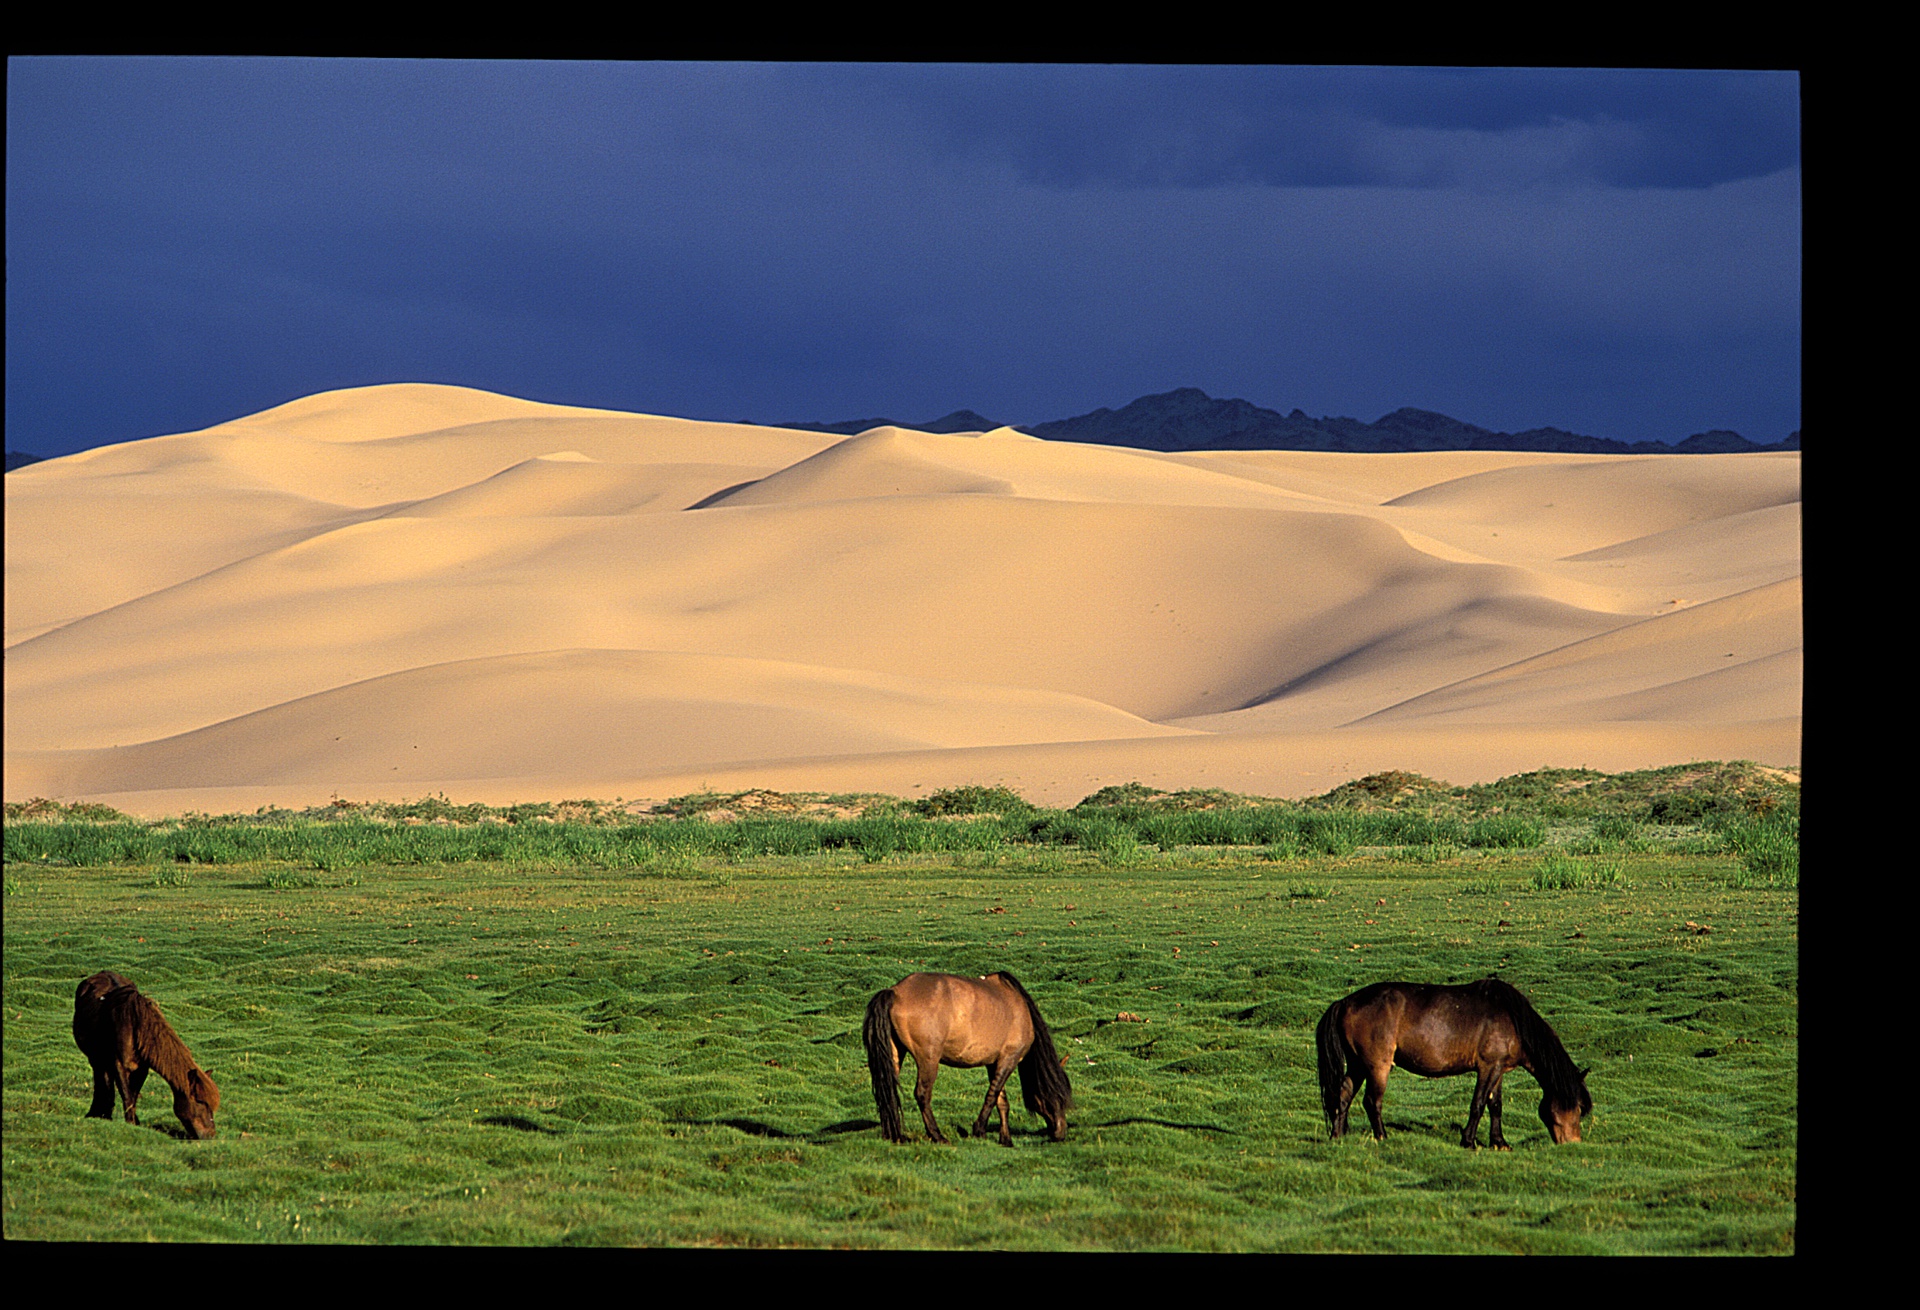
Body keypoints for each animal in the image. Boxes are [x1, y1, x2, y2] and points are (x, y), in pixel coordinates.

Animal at [73, 964, 221, 1137]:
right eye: (200, 1101)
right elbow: (127, 1096)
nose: (210, 1134)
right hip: (95, 1057)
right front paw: (130, 1124)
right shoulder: (119, 1064)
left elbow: (134, 1094)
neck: (135, 1025)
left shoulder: (142, 1068)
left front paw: (135, 1122)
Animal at [864, 968, 1075, 1144]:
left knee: (888, 1091)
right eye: (1060, 1096)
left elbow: (1001, 1100)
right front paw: (979, 1129)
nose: (1060, 1133)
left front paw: (1005, 1139)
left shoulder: (994, 1063)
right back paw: (937, 1136)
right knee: (922, 1094)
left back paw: (895, 1135)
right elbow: (992, 1096)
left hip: (895, 1054)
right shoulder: (1009, 1059)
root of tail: (896, 992)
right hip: (928, 1060)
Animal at [1320, 968, 1589, 1144]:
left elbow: (1495, 1105)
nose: (1572, 1145)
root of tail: (1345, 1002)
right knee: (1371, 1102)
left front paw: (1499, 1143)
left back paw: (1337, 1136)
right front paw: (1468, 1141)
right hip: (1377, 1066)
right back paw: (1382, 1137)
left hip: (1357, 1064)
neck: (1513, 1019)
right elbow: (1478, 1104)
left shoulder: (1498, 1068)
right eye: (1576, 1107)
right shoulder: (1487, 1067)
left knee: (1343, 1095)